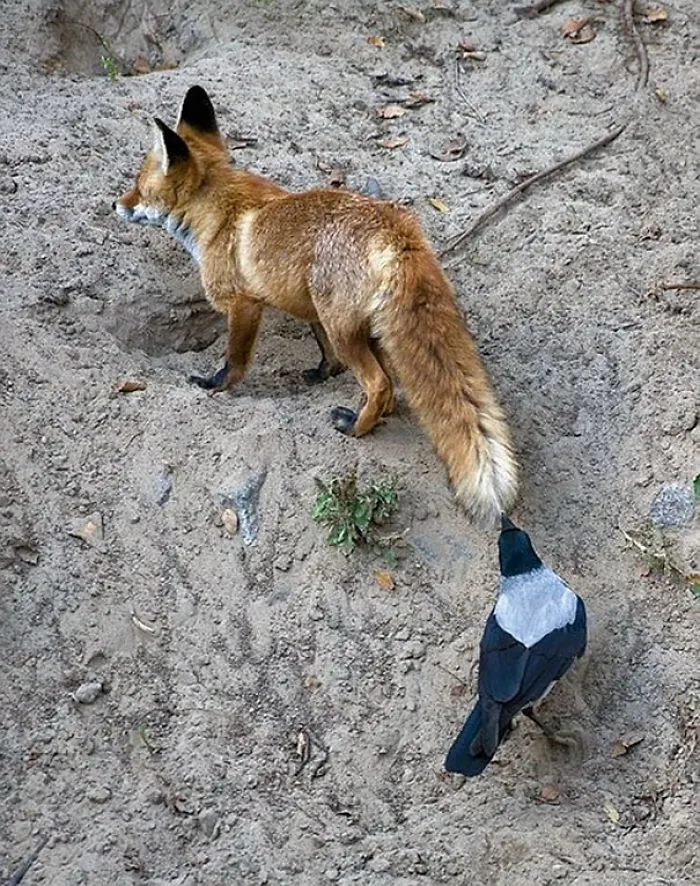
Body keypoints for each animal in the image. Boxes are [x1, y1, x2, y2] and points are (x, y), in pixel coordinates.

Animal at [113, 85, 518, 525]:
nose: (116, 205)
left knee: (380, 382)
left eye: (138, 186)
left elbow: (234, 360)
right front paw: (323, 375)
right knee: (387, 382)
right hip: (355, 323)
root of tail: (396, 229)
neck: (219, 214)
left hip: (345, 327)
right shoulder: (310, 310)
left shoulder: (243, 304)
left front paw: (215, 385)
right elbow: (325, 354)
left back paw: (357, 428)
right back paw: (372, 414)